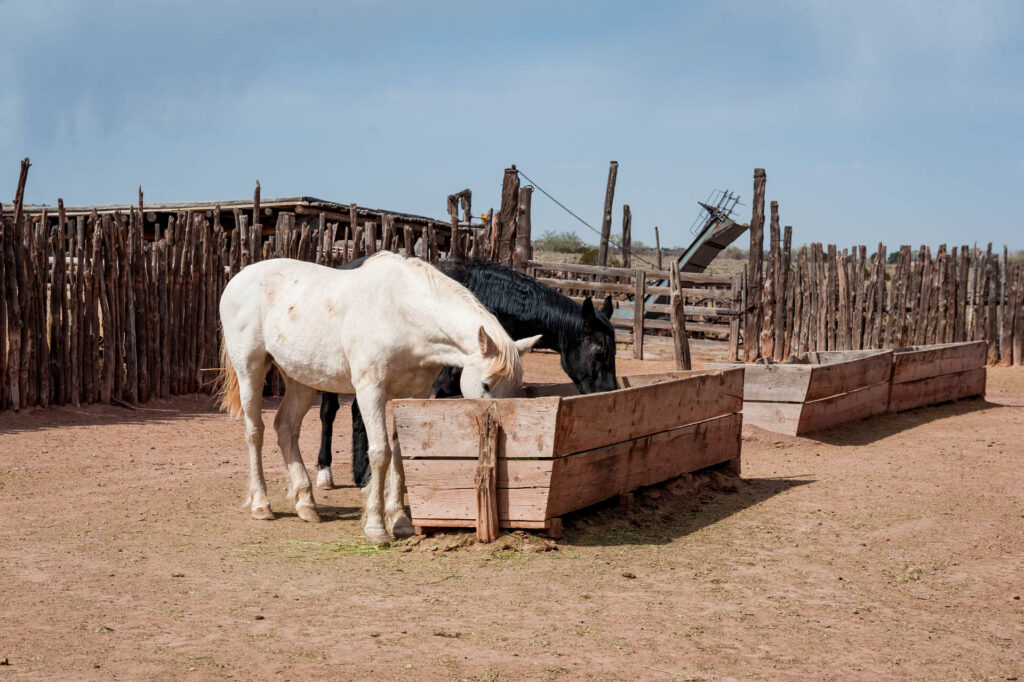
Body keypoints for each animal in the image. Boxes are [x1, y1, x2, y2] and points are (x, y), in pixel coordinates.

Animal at [218, 250, 544, 540]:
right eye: (486, 385)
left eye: (514, 390)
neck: (403, 314)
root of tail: (238, 279)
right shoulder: (370, 391)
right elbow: (380, 453)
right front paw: (376, 527)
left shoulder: (411, 396)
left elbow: (400, 456)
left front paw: (400, 521)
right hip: (251, 370)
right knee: (255, 431)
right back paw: (262, 504)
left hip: (300, 379)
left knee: (285, 428)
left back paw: (306, 504)